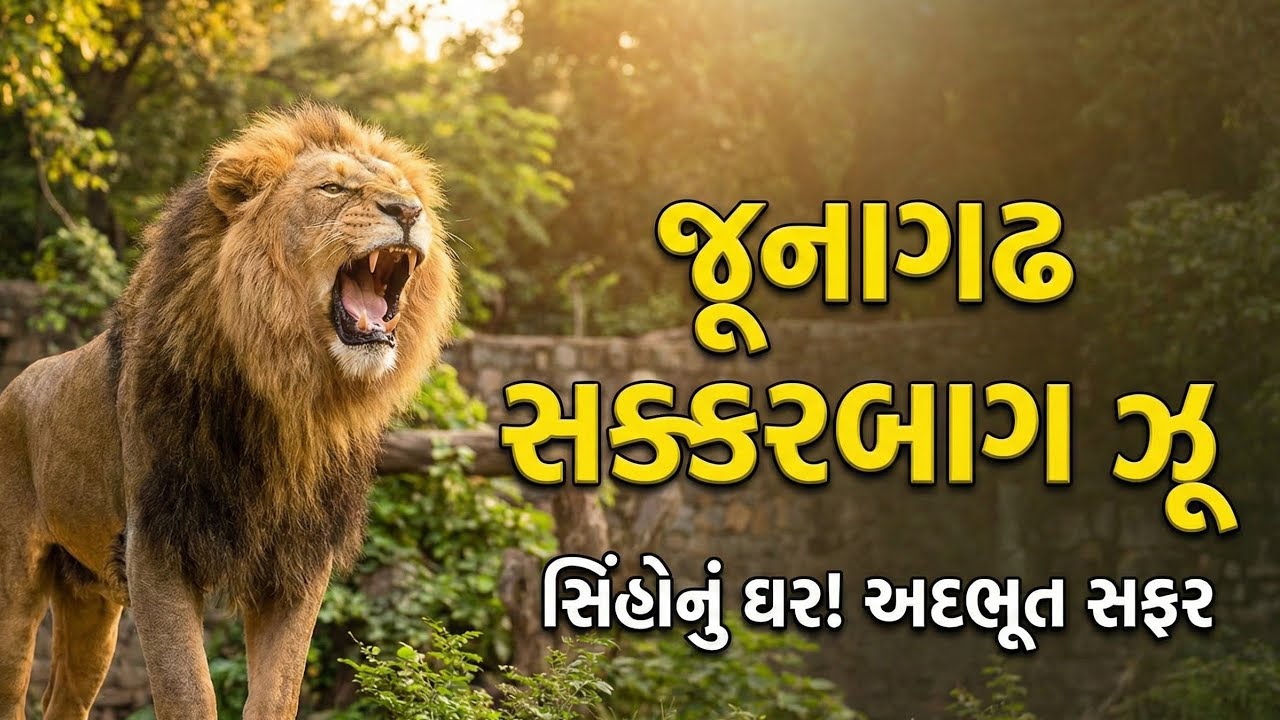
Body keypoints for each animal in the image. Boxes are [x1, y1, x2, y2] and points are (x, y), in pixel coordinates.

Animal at [0, 103, 457, 719]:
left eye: (404, 188)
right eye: (331, 188)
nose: (408, 211)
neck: (285, 397)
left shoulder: (296, 563)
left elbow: (277, 694)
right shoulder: (156, 549)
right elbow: (188, 690)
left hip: (90, 597)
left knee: (64, 698)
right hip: (15, 588)